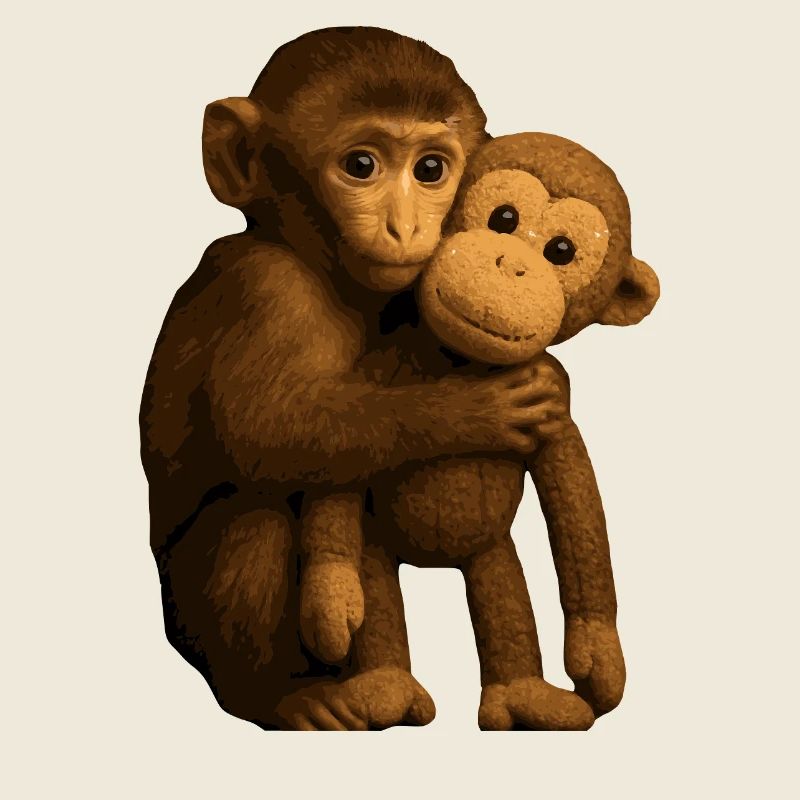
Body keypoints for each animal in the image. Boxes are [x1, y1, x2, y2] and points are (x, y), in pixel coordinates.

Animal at [140, 28, 559, 731]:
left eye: (430, 170)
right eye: (361, 166)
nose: (406, 226)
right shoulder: (267, 289)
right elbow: (267, 432)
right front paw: (468, 408)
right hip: (185, 617)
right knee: (260, 521)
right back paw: (278, 699)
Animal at [284, 132, 660, 730]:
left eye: (562, 251)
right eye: (503, 216)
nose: (510, 267)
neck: (459, 360)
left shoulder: (553, 412)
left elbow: (578, 511)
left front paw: (598, 658)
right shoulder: (377, 365)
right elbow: (340, 463)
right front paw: (328, 607)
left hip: (491, 552)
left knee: (505, 600)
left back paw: (526, 697)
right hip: (376, 543)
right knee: (375, 587)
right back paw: (385, 688)